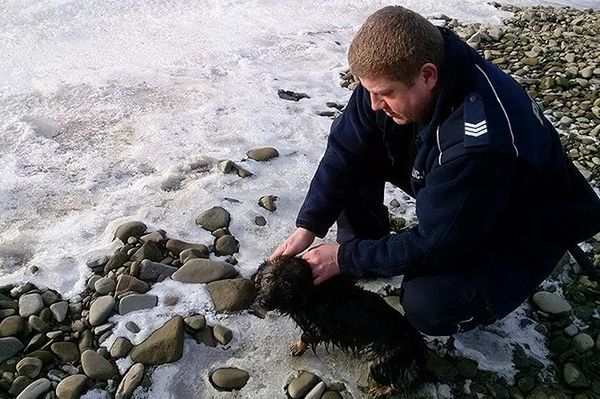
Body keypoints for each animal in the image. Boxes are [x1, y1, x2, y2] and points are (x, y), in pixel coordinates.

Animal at [253, 258, 426, 398]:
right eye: (267, 279)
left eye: (286, 286)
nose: (263, 302)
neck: (310, 292)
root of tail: (418, 349)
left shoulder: (318, 328)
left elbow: (305, 336)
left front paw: (298, 347)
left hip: (378, 362)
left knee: (399, 384)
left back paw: (382, 390)